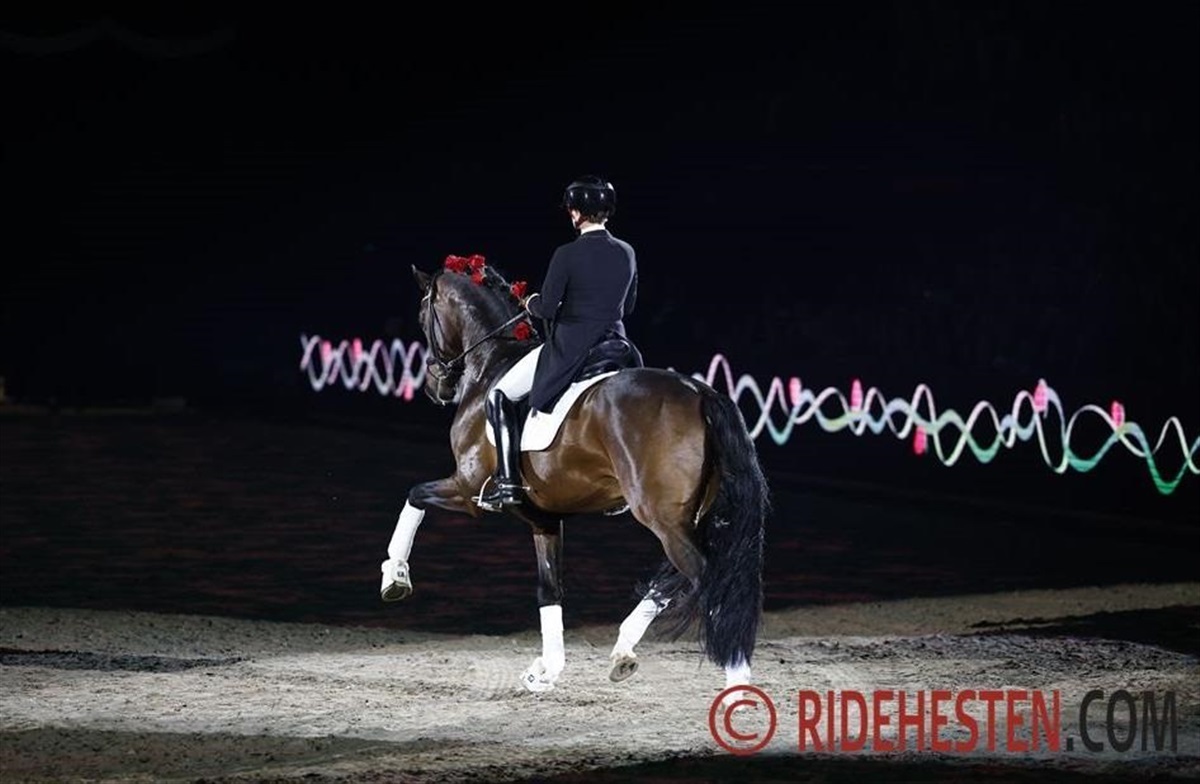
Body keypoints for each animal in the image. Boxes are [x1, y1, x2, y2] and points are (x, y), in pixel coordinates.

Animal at [379, 255, 769, 700]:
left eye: (421, 315)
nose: (434, 386)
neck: (493, 363)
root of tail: (701, 393)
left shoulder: (466, 489)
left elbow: (414, 494)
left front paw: (394, 576)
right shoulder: (543, 518)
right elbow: (550, 589)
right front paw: (546, 670)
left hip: (663, 517)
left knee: (709, 581)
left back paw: (737, 687)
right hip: (687, 516)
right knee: (677, 578)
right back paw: (623, 652)